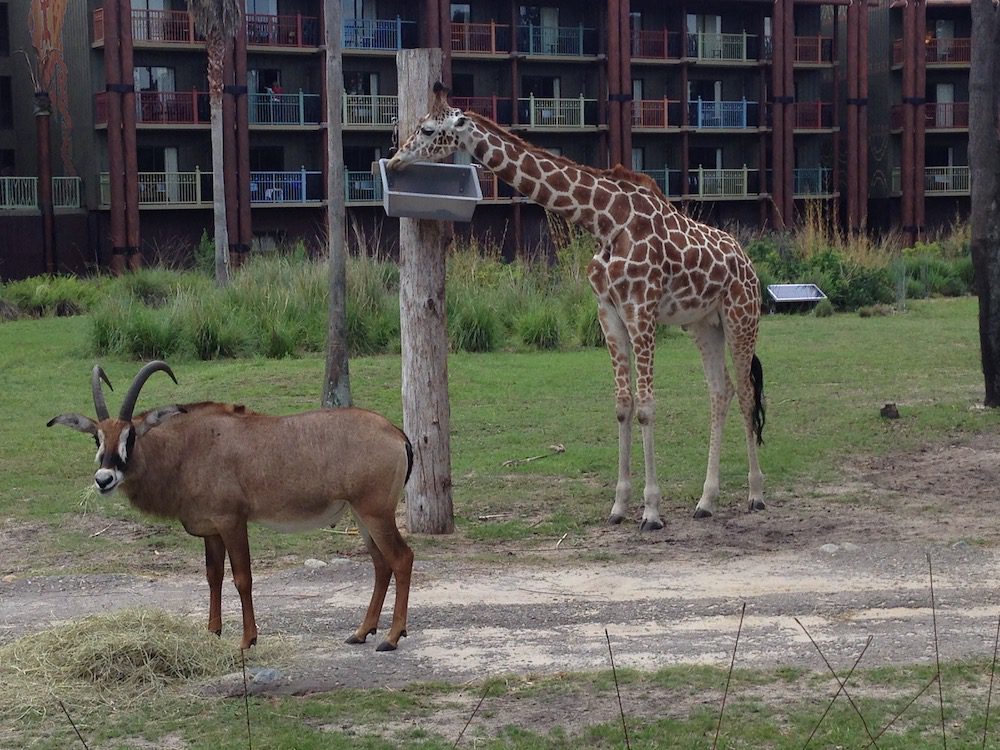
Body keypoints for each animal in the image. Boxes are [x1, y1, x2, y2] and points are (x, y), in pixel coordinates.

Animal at [46, 362, 414, 652]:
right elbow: (213, 577)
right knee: (381, 564)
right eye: (97, 438)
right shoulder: (210, 529)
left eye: (131, 436)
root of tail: (396, 433)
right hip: (362, 516)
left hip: (376, 514)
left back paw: (391, 637)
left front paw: (248, 639)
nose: (104, 479)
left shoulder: (232, 522)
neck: (189, 447)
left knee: (401, 558)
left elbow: (242, 578)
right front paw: (213, 631)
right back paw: (362, 632)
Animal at [388, 83, 764, 528]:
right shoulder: (609, 312)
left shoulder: (642, 309)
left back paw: (756, 495)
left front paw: (651, 510)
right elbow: (623, 405)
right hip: (704, 324)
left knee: (745, 391)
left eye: (428, 130)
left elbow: (647, 407)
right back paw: (706, 501)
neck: (605, 221)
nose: (394, 160)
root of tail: (749, 262)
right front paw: (619, 506)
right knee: (721, 391)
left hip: (741, 316)